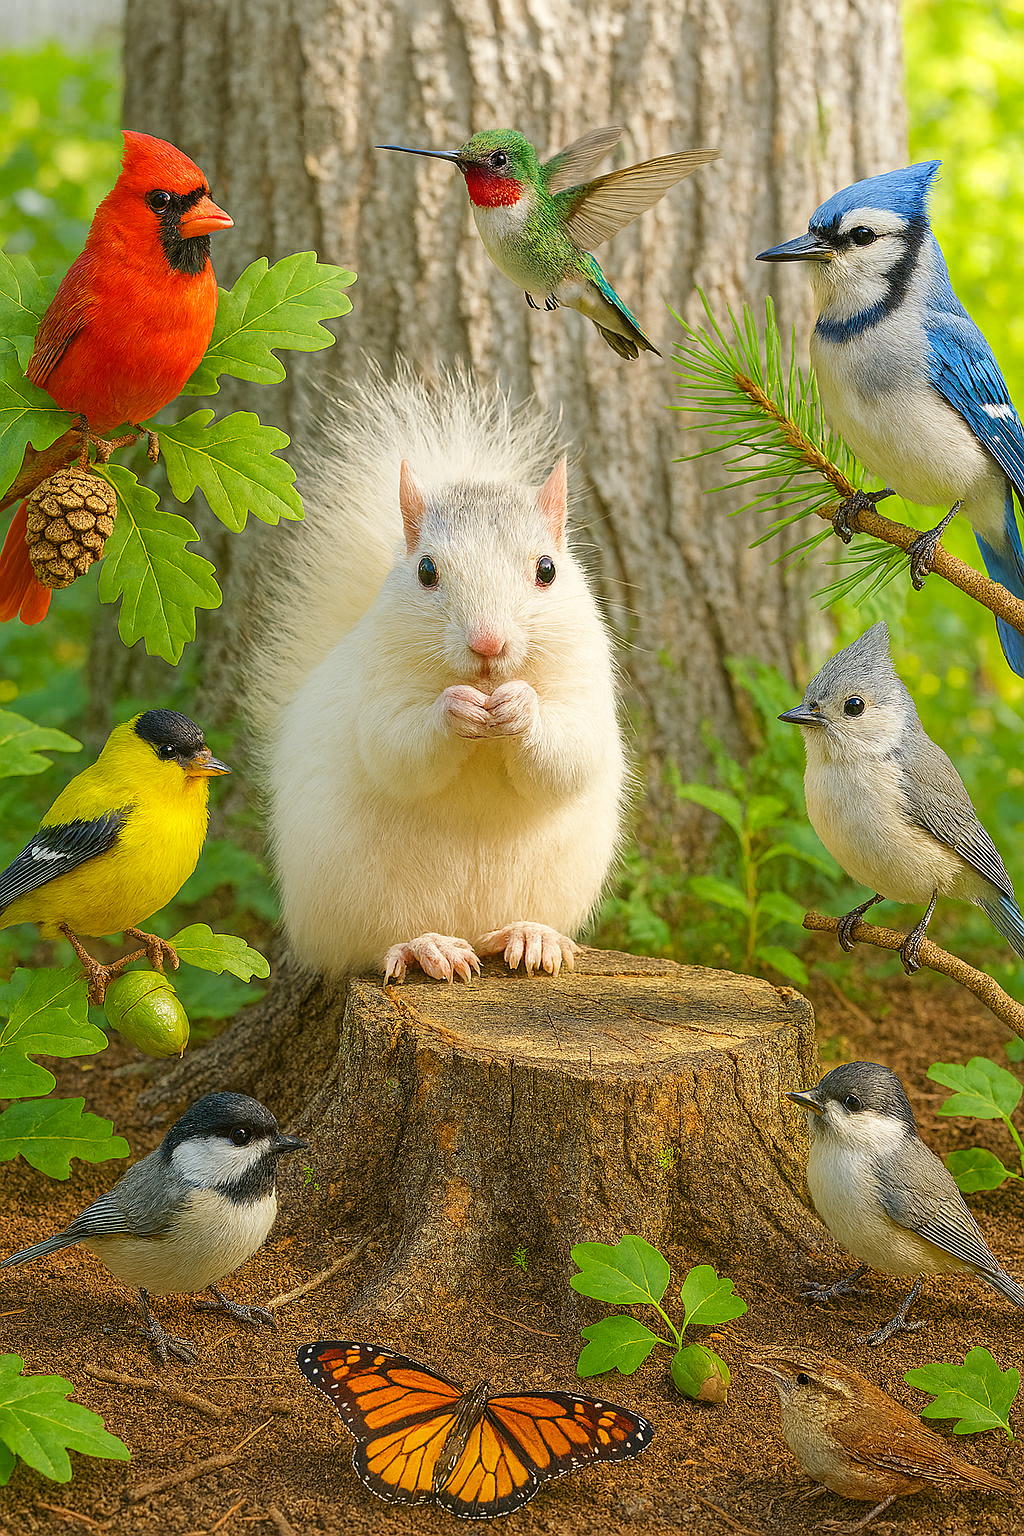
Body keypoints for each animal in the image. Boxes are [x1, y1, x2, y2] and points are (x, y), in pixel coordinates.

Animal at [248, 369, 626, 983]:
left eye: (547, 570)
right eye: (426, 570)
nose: (488, 644)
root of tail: (472, 926)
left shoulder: (584, 678)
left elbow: (573, 750)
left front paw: (521, 707)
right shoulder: (379, 681)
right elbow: (394, 748)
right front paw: (457, 708)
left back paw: (530, 936)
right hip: (363, 895)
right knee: (378, 941)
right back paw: (428, 948)